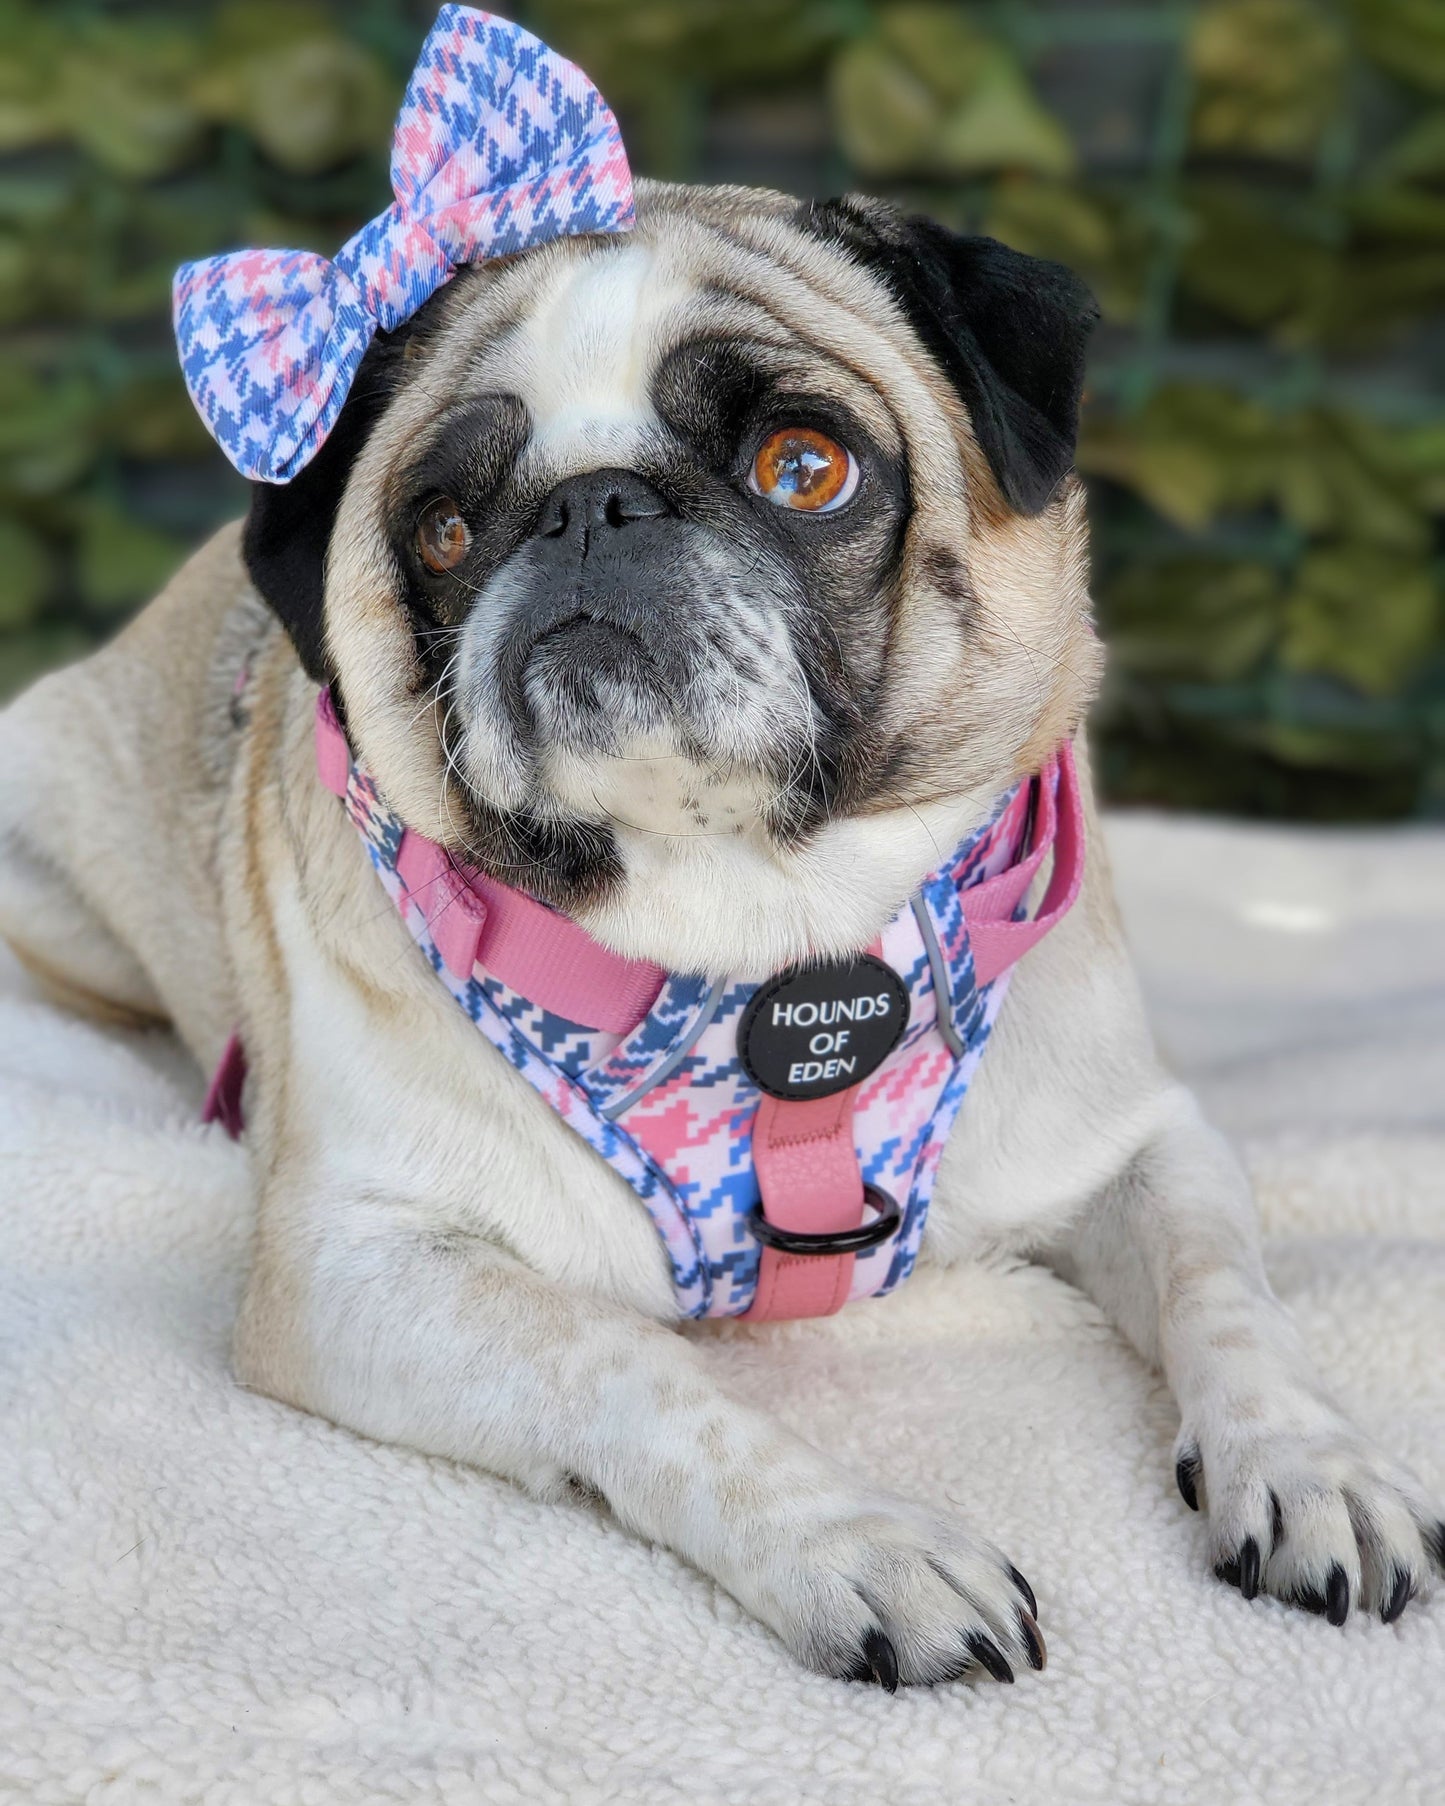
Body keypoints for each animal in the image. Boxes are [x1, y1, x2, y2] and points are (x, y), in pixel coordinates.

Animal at [0, 176, 1437, 1683]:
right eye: (443, 527)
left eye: (804, 467)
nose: (586, 507)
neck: (759, 937)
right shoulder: (354, 1269)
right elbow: (633, 1365)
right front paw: (858, 1541)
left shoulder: (1145, 1144)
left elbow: (1226, 1292)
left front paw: (1309, 1461)